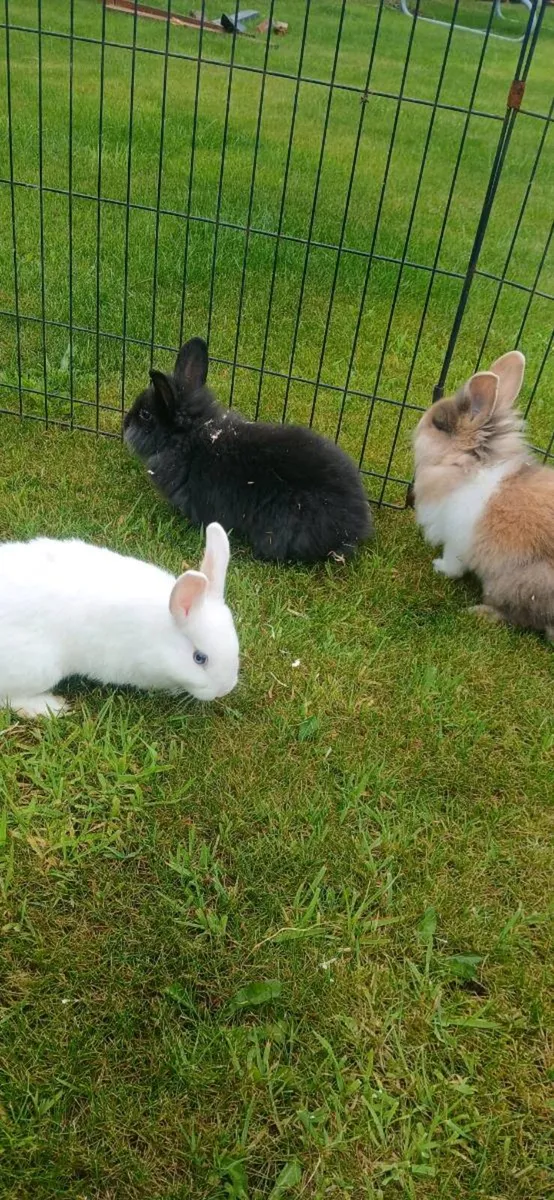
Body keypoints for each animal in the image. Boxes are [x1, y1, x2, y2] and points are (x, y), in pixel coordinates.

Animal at [412, 349, 554, 639]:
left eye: (439, 424)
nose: (419, 425)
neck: (468, 465)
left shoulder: (457, 537)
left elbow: (453, 562)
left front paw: (439, 567)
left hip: (519, 583)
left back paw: (479, 613)